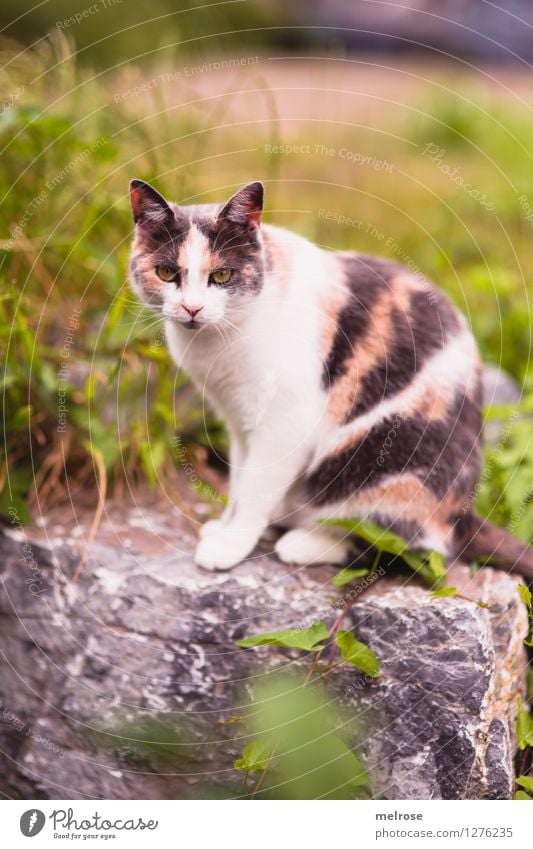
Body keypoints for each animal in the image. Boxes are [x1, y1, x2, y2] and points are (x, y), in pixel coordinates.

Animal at [130, 176, 532, 580]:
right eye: (167, 273)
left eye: (222, 275)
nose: (192, 308)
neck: (213, 344)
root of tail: (464, 514)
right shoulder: (238, 419)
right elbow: (240, 479)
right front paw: (225, 526)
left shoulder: (286, 421)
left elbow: (256, 486)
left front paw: (231, 545)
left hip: (387, 458)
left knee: (399, 546)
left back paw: (304, 542)